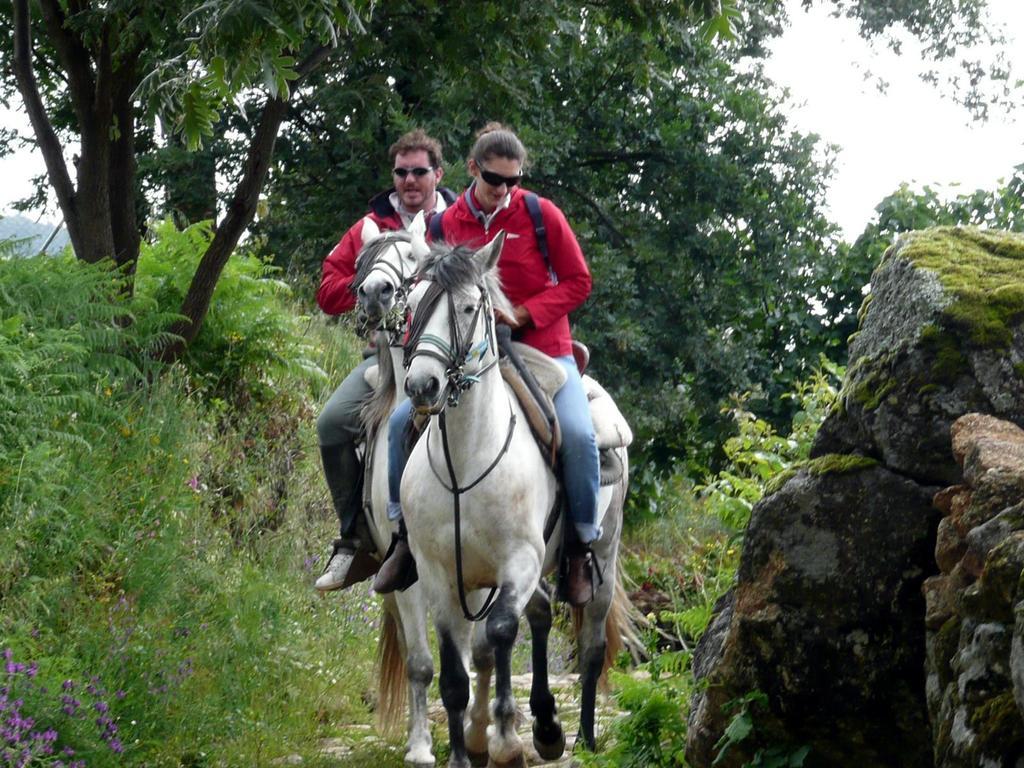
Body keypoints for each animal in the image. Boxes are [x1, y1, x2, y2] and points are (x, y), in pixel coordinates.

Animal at [397, 234, 630, 768]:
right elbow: (455, 674)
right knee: (540, 614)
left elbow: (501, 632)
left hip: (603, 555)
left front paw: (503, 741)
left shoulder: (517, 562)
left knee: (589, 645)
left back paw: (583, 737)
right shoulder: (440, 575)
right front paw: (464, 754)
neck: (465, 463)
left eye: (467, 306)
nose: (422, 385)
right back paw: (546, 725)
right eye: (412, 306)